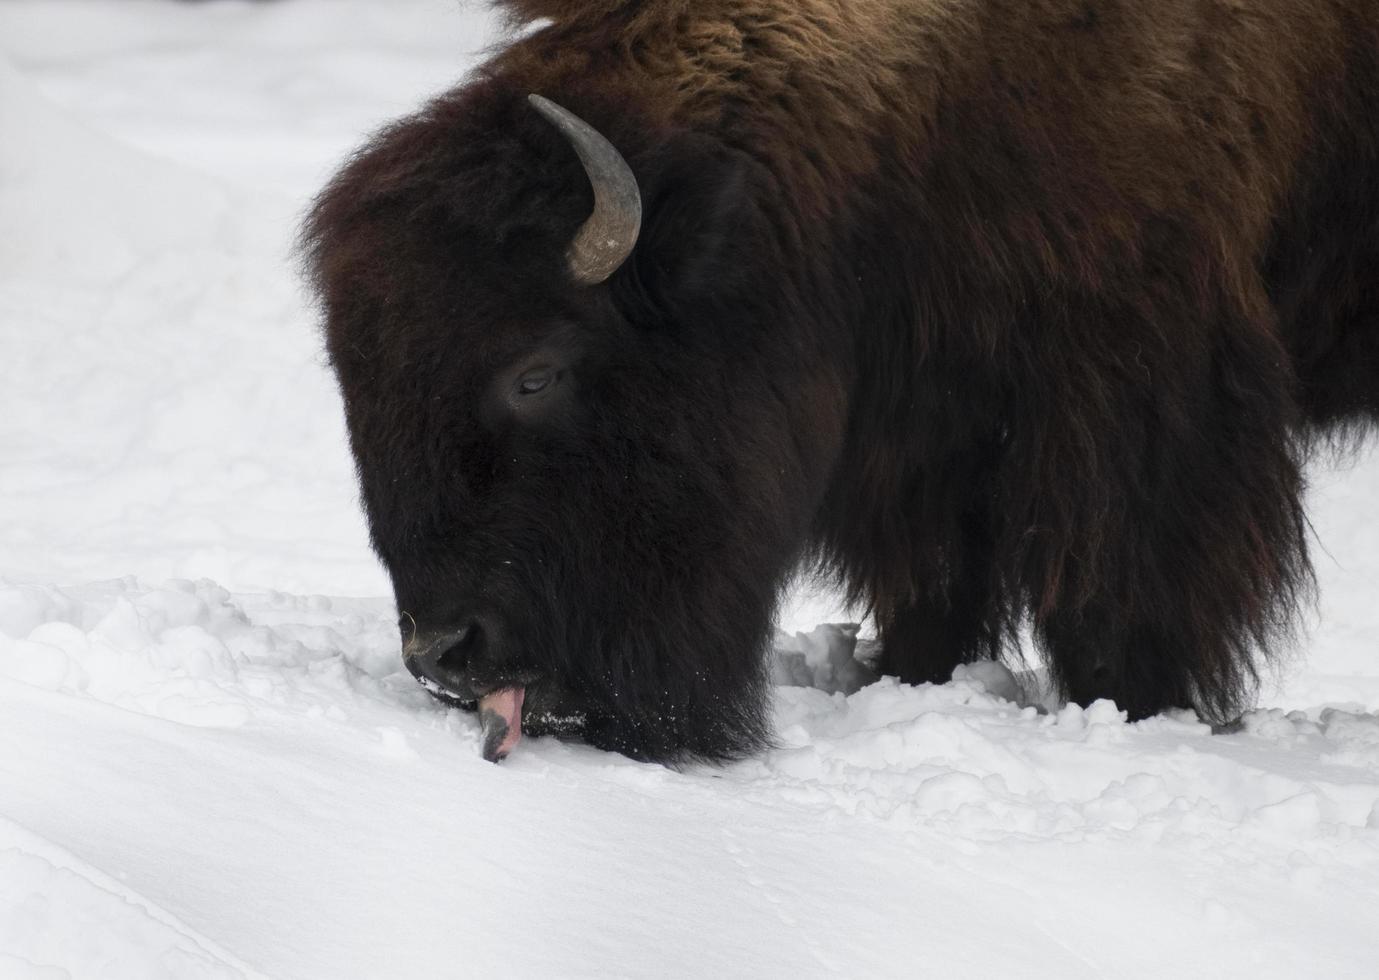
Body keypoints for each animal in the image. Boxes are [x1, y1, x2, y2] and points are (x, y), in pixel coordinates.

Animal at [304, 0, 1379, 766]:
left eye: (536, 372)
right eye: (353, 372)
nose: (445, 656)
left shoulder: (1134, 397)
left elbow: (1116, 590)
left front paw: (1128, 712)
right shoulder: (926, 427)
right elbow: (934, 584)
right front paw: (907, 676)